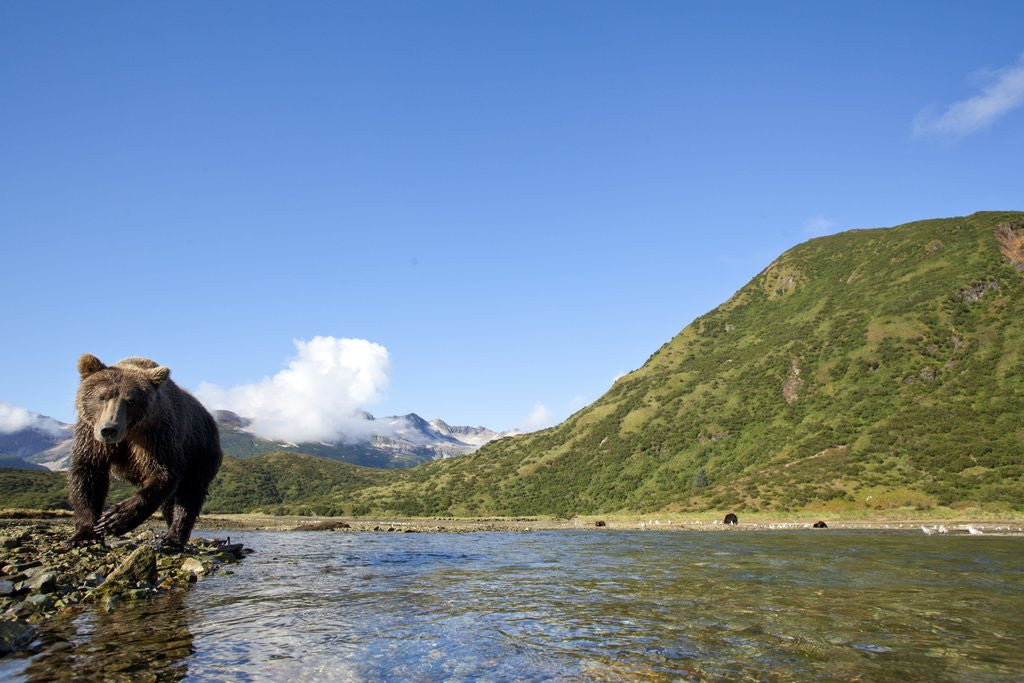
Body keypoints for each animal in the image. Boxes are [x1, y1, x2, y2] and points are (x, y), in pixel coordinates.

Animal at [68, 354, 223, 548]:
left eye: (130, 401)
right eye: (102, 397)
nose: (109, 429)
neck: (129, 433)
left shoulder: (156, 435)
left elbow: (164, 473)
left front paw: (114, 519)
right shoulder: (92, 436)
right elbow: (88, 473)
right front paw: (85, 535)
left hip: (201, 452)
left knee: (189, 493)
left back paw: (173, 538)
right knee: (170, 501)